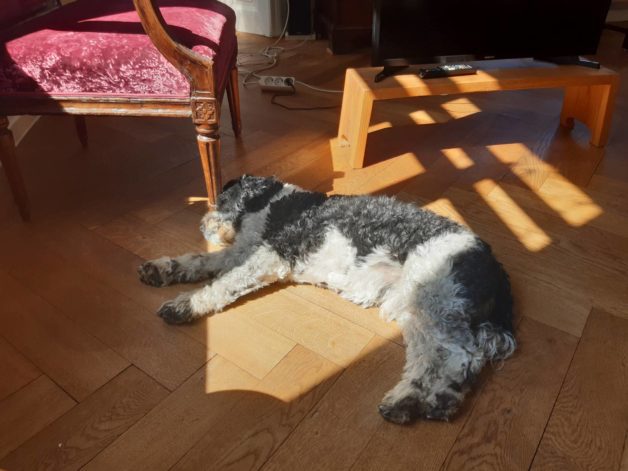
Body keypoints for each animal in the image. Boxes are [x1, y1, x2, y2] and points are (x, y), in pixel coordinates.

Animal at [139, 175, 516, 426]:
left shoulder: (269, 256)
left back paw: (428, 397)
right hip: (414, 307)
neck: (277, 205)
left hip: (434, 298)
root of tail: (496, 268)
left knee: (461, 354)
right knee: (434, 356)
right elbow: (199, 261)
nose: (203, 225)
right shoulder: (243, 252)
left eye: (221, 201)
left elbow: (222, 284)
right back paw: (418, 400)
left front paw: (185, 304)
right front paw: (161, 269)